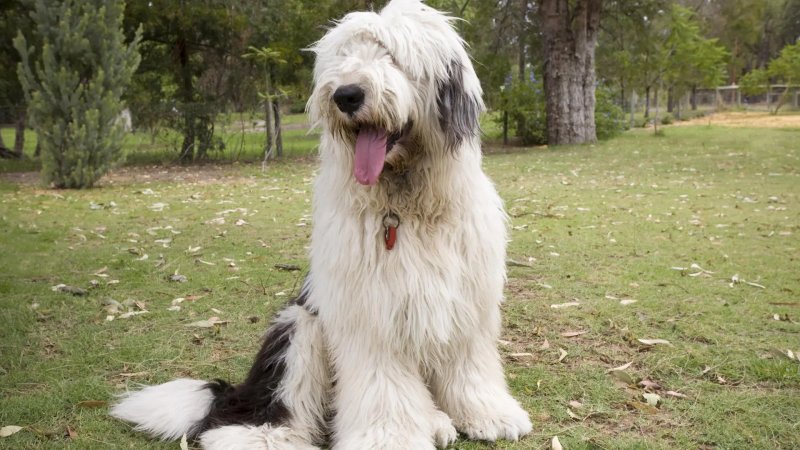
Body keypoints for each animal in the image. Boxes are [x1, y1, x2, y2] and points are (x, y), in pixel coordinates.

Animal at [108, 1, 532, 448]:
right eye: (344, 56)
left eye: (392, 56)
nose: (346, 95)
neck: (404, 205)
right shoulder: (368, 313)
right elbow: (383, 384)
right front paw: (388, 437)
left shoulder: (466, 302)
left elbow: (468, 364)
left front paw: (487, 413)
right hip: (300, 329)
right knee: (262, 408)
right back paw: (264, 436)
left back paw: (436, 420)